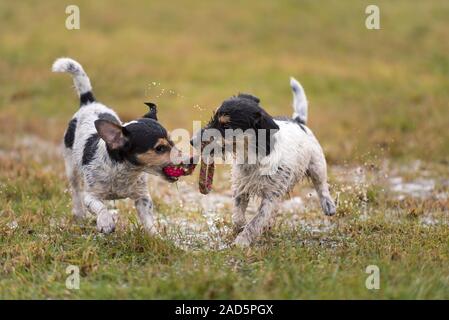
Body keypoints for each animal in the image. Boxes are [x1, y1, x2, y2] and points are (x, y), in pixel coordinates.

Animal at [192, 77, 336, 248]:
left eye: (226, 125)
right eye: (213, 119)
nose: (191, 141)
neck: (254, 156)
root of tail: (298, 121)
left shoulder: (271, 197)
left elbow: (256, 221)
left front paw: (241, 241)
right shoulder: (240, 188)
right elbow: (238, 216)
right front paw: (240, 228)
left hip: (317, 164)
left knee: (321, 185)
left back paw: (328, 205)